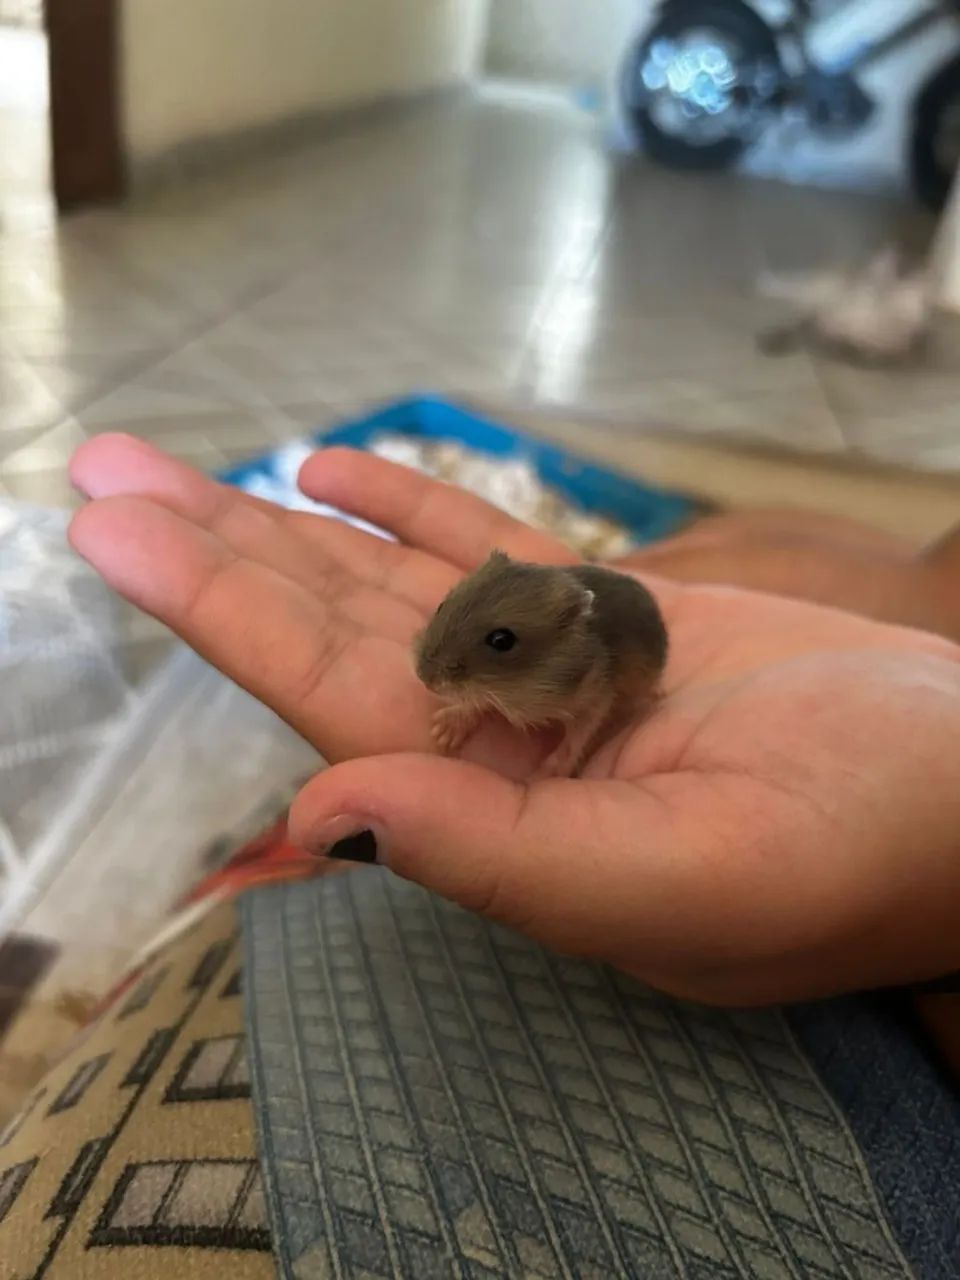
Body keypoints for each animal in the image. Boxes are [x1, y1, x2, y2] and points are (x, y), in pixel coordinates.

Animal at [413, 550, 668, 779]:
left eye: (501, 640)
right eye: (441, 605)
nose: (425, 680)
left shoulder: (596, 699)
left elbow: (576, 738)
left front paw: (548, 772)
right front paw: (442, 731)